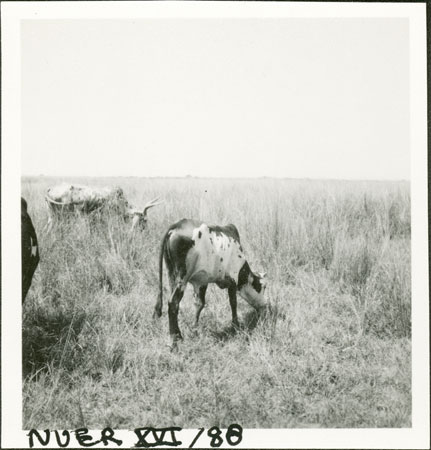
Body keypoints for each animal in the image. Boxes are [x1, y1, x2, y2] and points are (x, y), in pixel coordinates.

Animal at [152, 218, 266, 348]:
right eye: (263, 286)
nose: (265, 306)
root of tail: (177, 225)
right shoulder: (232, 280)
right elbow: (233, 303)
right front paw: (236, 326)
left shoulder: (202, 281)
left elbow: (199, 304)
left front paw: (195, 331)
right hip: (182, 278)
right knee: (173, 303)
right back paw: (174, 342)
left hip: (171, 275)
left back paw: (178, 335)